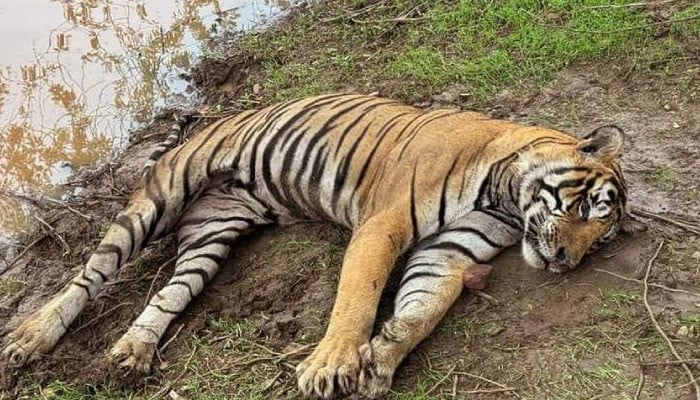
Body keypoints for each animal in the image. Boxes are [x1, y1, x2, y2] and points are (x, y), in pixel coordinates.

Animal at [1, 93, 636, 399]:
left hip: (210, 238)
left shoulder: (450, 251)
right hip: (160, 198)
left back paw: (133, 352)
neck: (503, 196)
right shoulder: (382, 225)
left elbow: (422, 309)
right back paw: (31, 336)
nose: (565, 262)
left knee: (168, 295)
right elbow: (359, 294)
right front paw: (332, 363)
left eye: (600, 239)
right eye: (586, 207)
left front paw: (382, 357)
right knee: (91, 273)